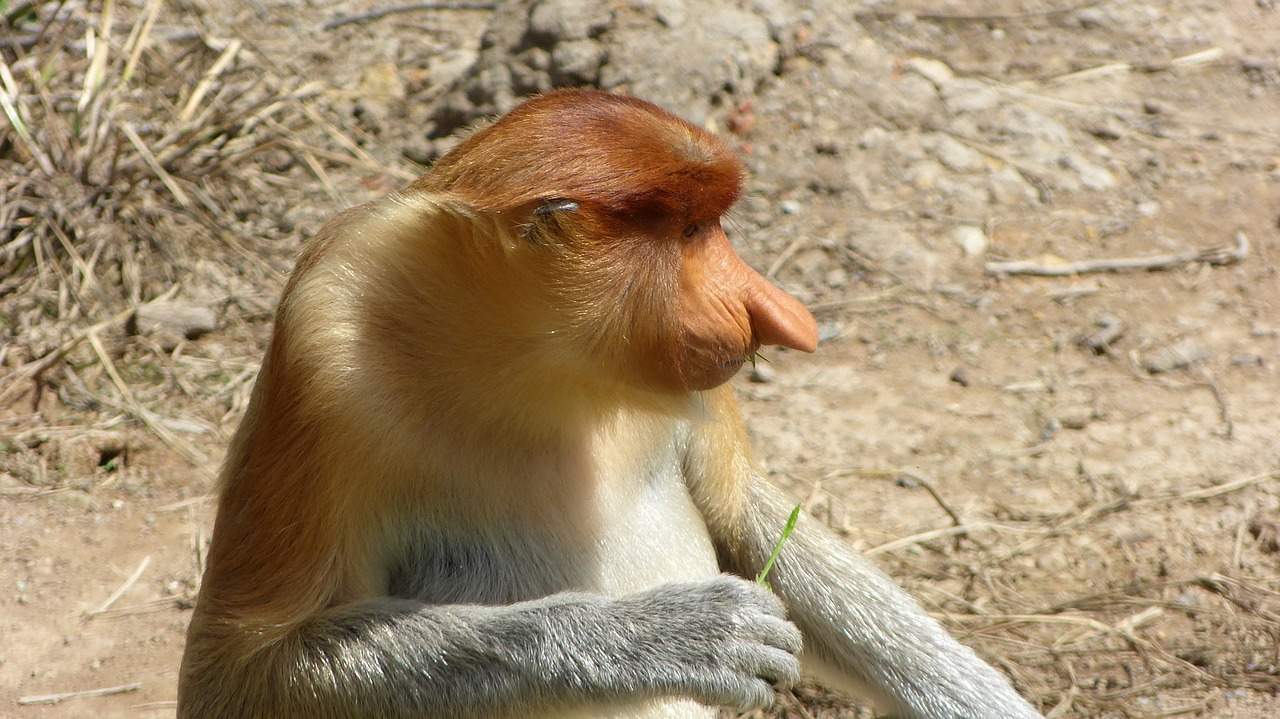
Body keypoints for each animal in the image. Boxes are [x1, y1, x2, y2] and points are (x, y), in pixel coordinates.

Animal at [175, 89, 1044, 716]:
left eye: (713, 226)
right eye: (690, 231)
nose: (781, 315)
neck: (532, 361)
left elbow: (745, 515)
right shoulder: (323, 356)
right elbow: (243, 668)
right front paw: (688, 634)